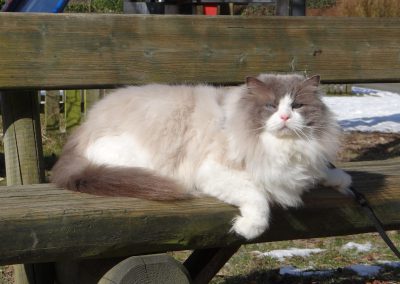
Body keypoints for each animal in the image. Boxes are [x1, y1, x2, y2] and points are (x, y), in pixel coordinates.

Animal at [50, 72, 354, 240]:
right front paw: (247, 228)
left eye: (297, 105)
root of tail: (83, 129)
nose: (285, 117)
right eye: (271, 106)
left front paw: (341, 181)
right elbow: (258, 199)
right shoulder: (215, 172)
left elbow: (321, 173)